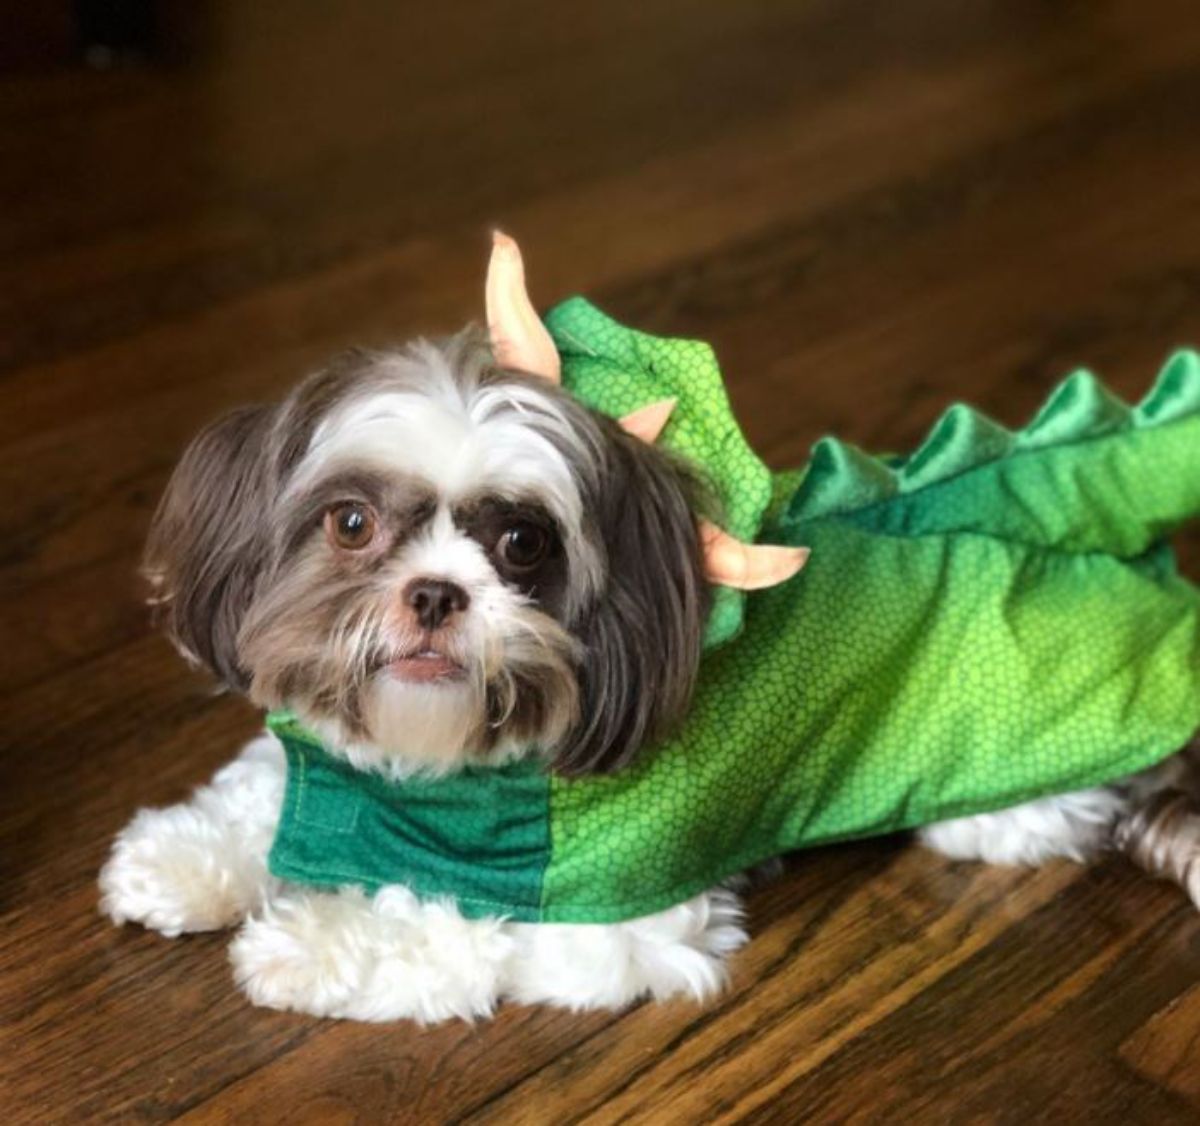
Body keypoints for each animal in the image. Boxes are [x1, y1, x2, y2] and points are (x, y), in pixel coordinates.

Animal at [100, 235, 1200, 1017]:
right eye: (352, 523)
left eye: (524, 544)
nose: (437, 592)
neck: (442, 776)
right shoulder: (331, 772)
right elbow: (264, 787)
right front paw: (182, 857)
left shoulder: (616, 918)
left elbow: (445, 913)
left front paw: (308, 939)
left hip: (1008, 796)